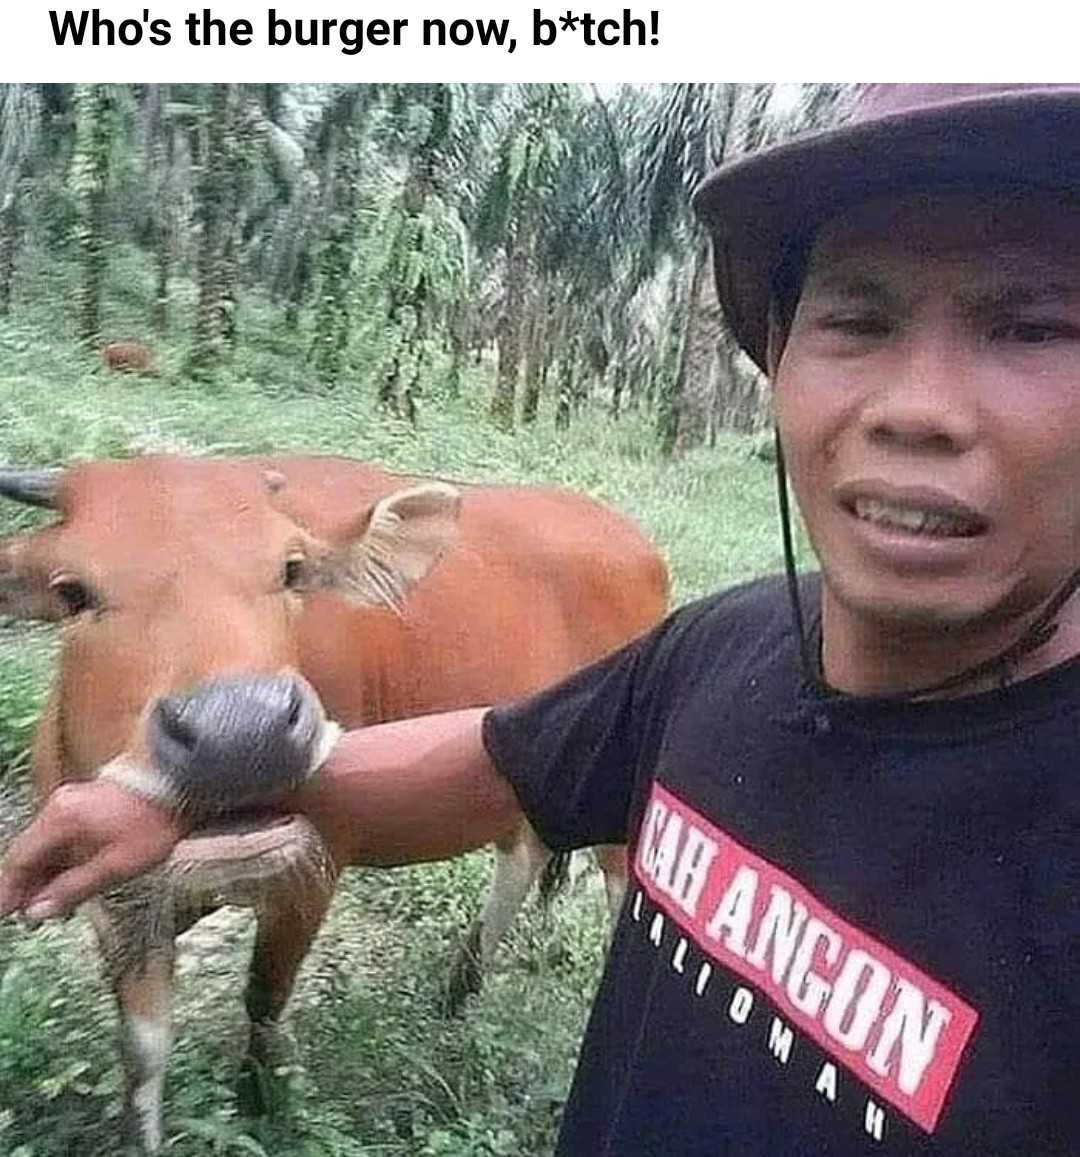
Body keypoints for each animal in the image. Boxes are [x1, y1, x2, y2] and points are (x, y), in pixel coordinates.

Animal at [0, 455, 671, 1152]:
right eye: (72, 591)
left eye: (290, 570)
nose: (240, 734)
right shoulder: (117, 902)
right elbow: (141, 1051)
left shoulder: (314, 865)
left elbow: (264, 1001)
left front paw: (260, 1102)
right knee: (525, 853)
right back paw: (457, 992)